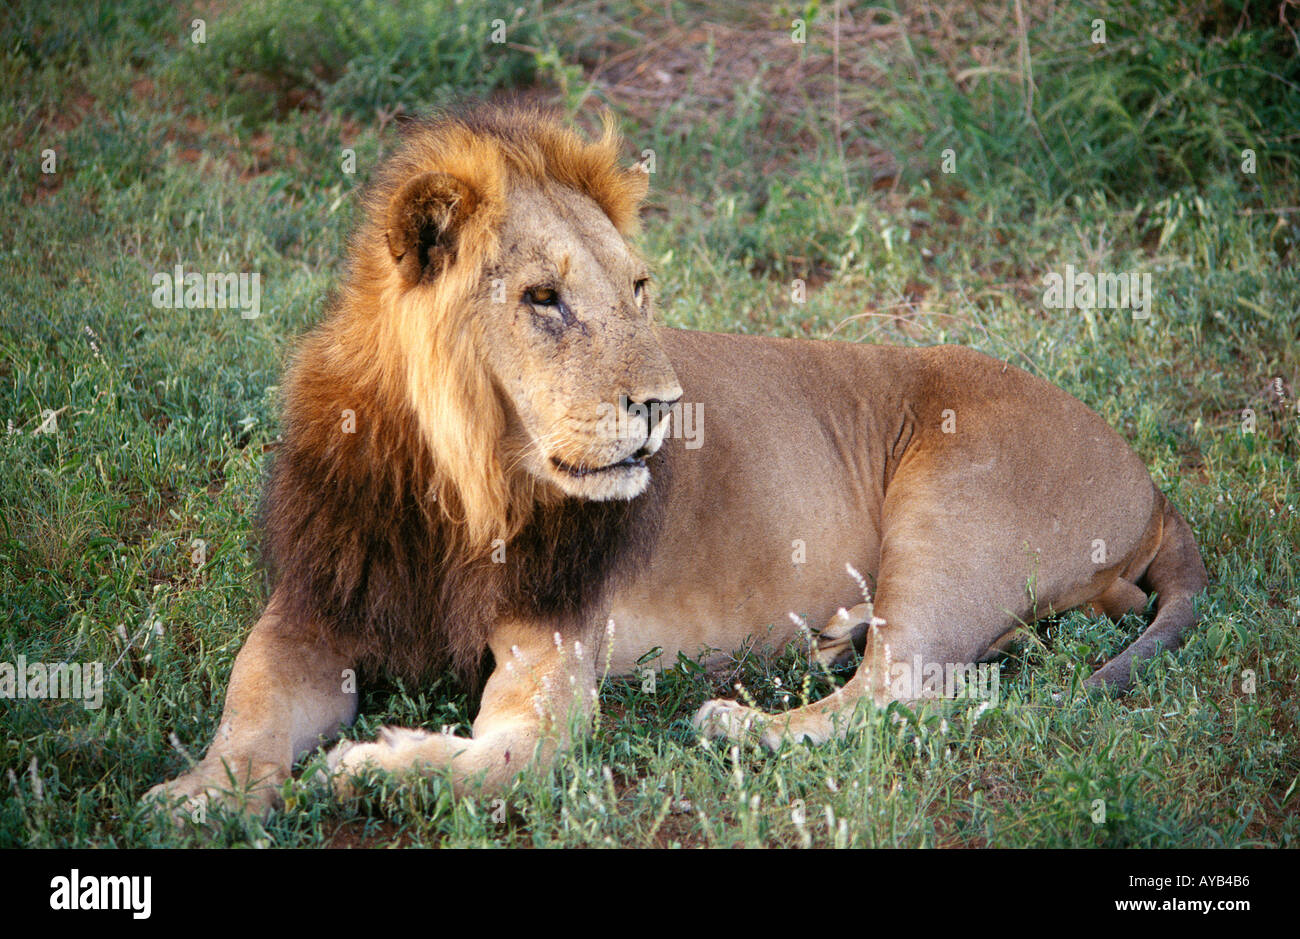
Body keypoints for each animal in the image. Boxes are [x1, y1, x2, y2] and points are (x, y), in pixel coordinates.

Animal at [145, 104, 1207, 818]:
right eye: (542, 298)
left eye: (639, 289)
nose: (662, 407)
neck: (458, 488)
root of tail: (1154, 486)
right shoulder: (312, 609)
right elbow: (248, 708)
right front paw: (197, 796)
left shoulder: (554, 644)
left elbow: (506, 756)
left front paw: (368, 766)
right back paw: (832, 638)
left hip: (949, 506)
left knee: (900, 693)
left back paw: (739, 722)